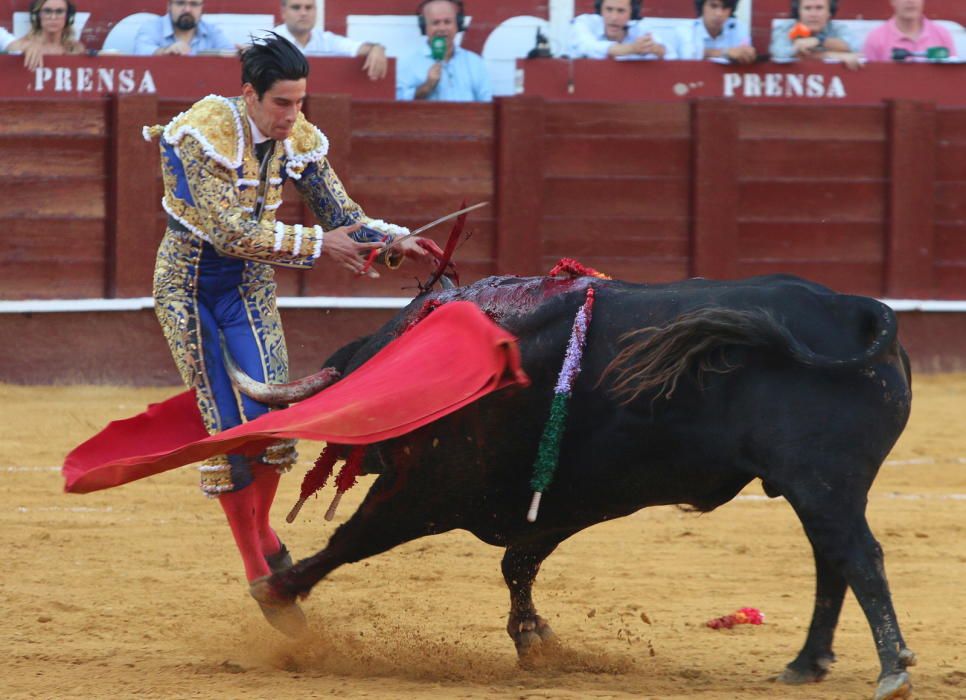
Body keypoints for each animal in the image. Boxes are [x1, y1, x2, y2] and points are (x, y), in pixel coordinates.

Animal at [268, 274, 920, 700]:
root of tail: (859, 309)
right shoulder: (563, 500)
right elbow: (517, 564)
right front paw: (535, 638)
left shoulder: (429, 490)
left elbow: (352, 541)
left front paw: (277, 594)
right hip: (823, 490)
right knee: (834, 560)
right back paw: (807, 663)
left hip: (823, 484)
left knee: (860, 557)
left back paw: (892, 670)